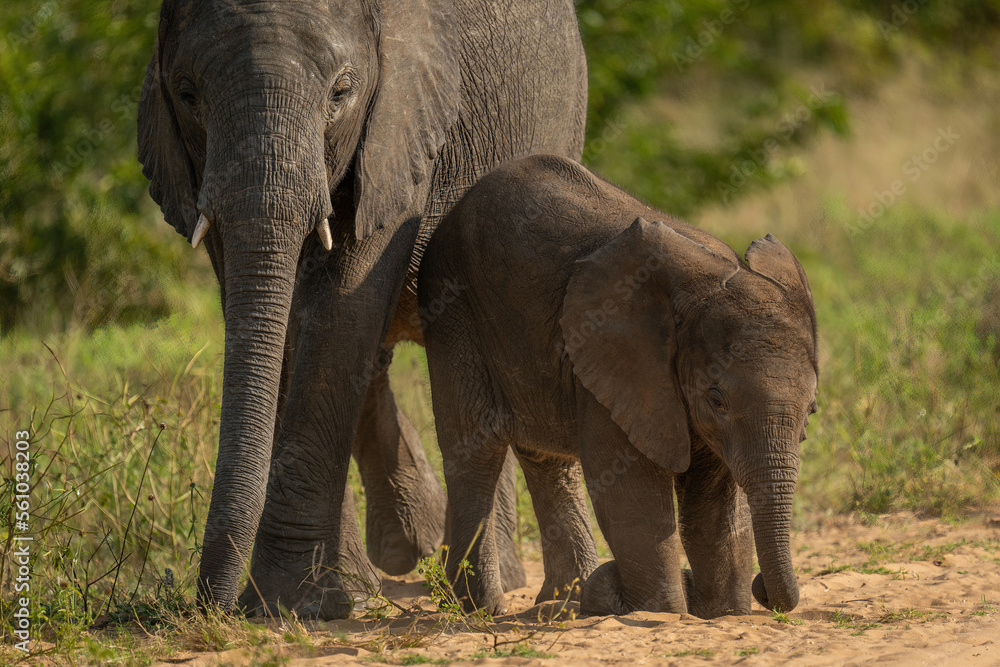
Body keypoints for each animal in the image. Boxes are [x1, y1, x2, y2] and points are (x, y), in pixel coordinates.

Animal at [137, 1, 587, 618]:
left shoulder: (402, 129)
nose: (212, 606)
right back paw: (402, 556)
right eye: (186, 93)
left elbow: (342, 307)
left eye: (341, 92)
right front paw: (325, 597)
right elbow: (277, 322)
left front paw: (290, 603)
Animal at [418, 154, 818, 618]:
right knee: (475, 446)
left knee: (548, 459)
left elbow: (713, 504)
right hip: (452, 309)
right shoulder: (619, 365)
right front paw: (661, 613)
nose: (763, 590)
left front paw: (724, 614)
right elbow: (634, 495)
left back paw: (564, 603)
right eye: (716, 400)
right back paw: (483, 609)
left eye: (812, 410)